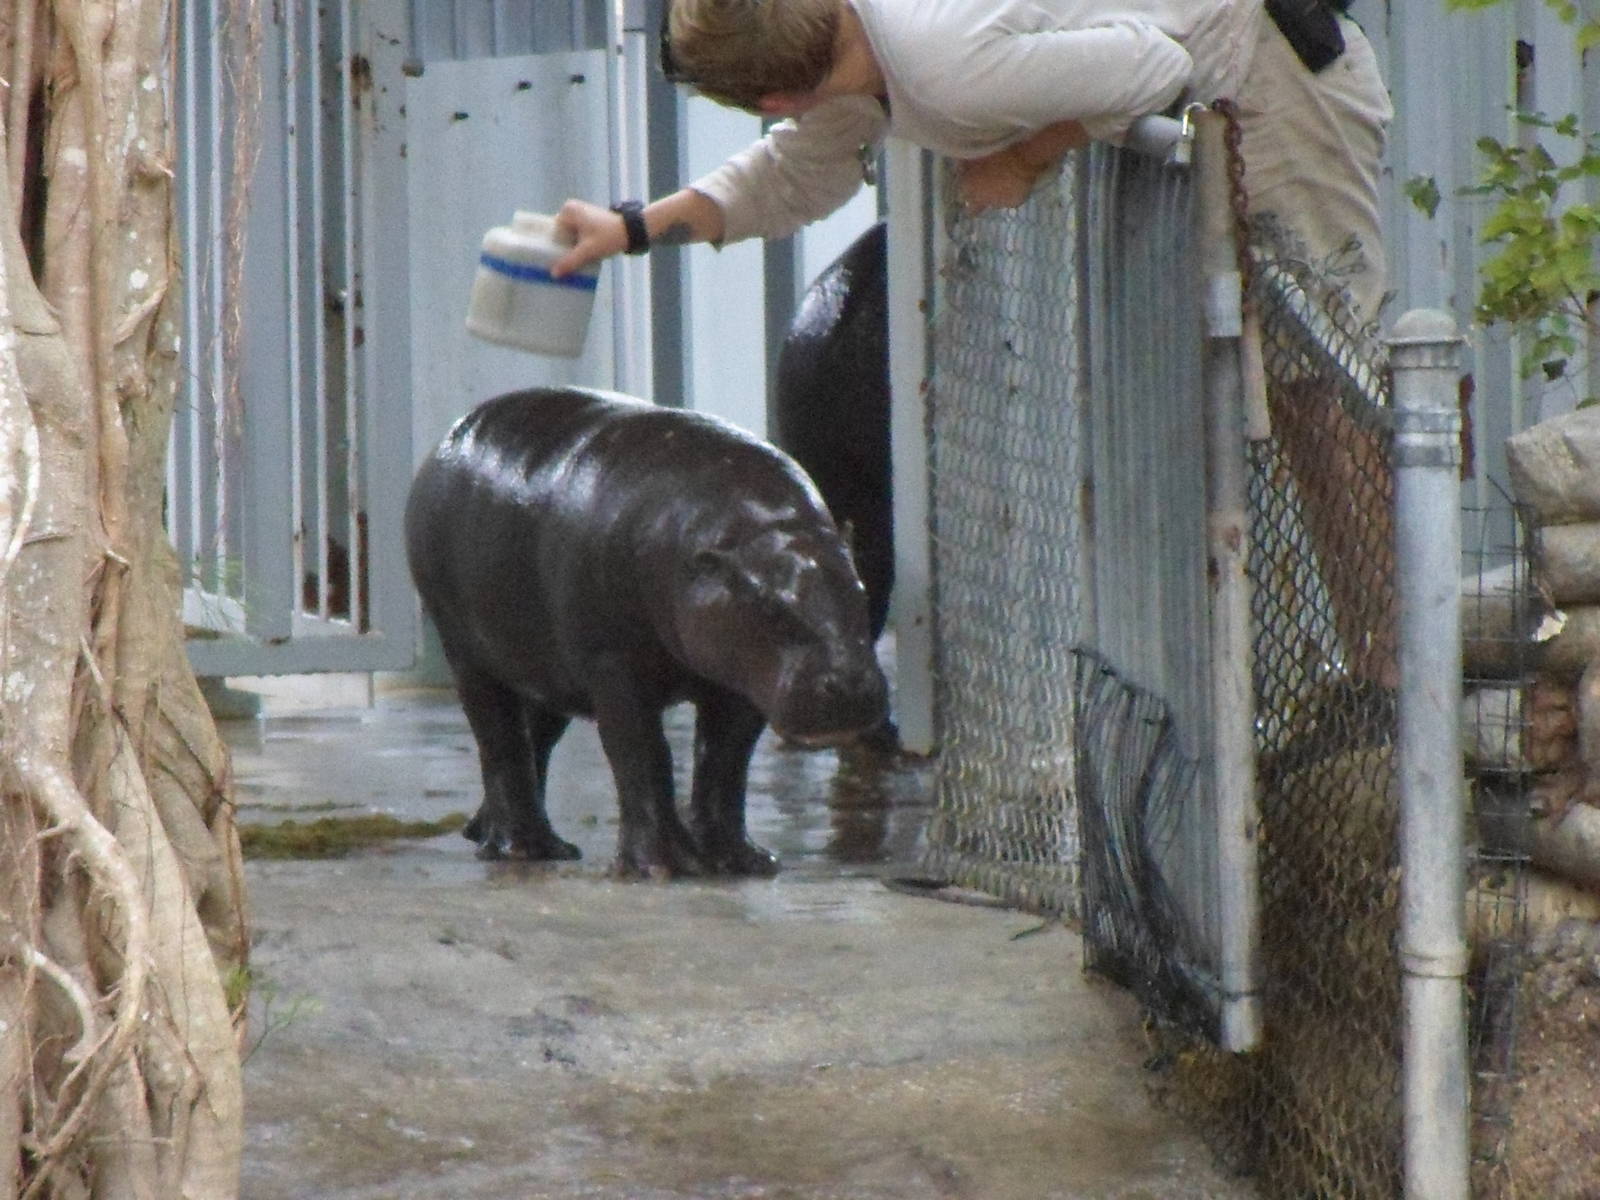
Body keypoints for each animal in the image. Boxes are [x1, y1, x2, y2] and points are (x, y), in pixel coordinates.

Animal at [405, 386, 889, 878]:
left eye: (862, 592)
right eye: (772, 607)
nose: (852, 684)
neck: (753, 533)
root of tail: (448, 440)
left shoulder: (740, 682)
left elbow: (725, 761)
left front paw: (743, 860)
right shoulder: (615, 667)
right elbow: (642, 753)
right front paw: (665, 867)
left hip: (548, 667)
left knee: (533, 736)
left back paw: (492, 833)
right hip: (465, 646)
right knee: (498, 737)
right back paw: (524, 848)